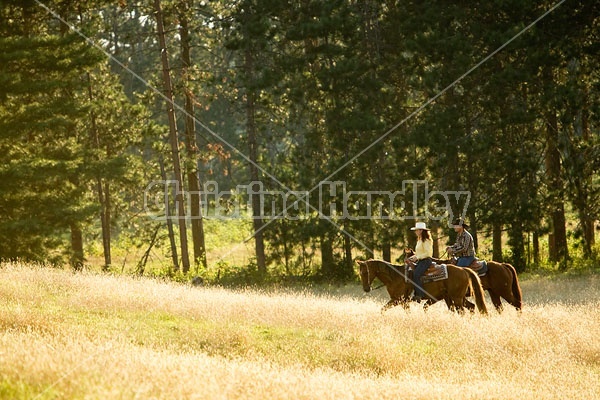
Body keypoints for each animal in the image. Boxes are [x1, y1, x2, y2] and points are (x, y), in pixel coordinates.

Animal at [356, 260, 488, 316]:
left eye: (366, 272)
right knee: (471, 307)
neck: (395, 276)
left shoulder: (397, 300)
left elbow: (383, 310)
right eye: (360, 273)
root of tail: (463, 269)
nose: (366, 289)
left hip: (457, 298)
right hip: (458, 297)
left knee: (462, 311)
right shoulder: (403, 302)